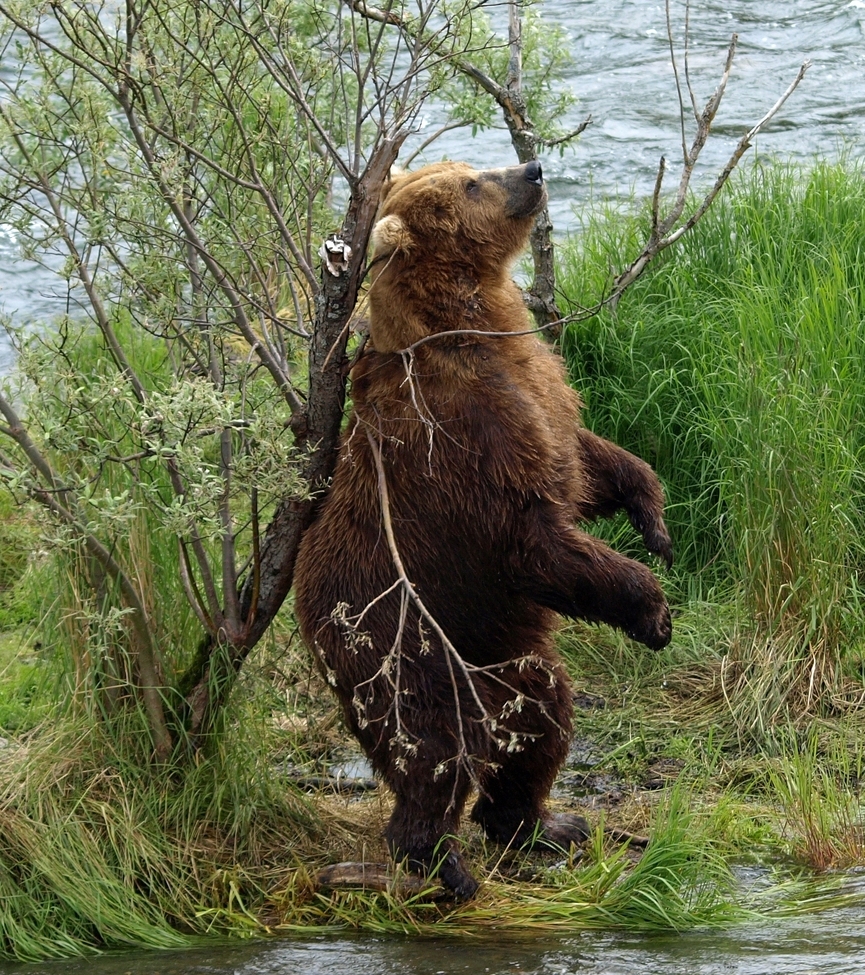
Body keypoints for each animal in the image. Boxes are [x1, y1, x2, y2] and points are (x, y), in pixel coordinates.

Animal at [293, 159, 672, 900]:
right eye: (471, 184)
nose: (531, 168)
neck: (470, 318)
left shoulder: (539, 391)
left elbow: (584, 461)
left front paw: (652, 516)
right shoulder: (468, 436)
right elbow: (533, 540)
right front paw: (653, 611)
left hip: (508, 658)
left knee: (542, 721)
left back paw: (544, 823)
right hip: (402, 650)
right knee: (434, 752)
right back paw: (439, 864)